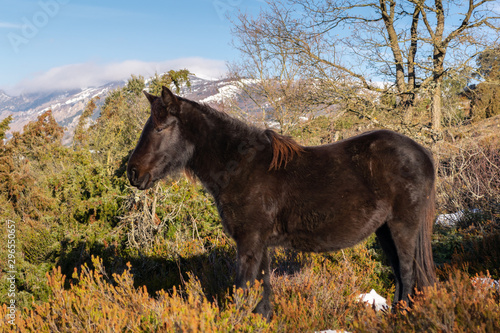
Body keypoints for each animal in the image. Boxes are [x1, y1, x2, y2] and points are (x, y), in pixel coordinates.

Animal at [127, 85, 436, 316]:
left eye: (160, 128)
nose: (133, 172)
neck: (241, 166)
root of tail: (421, 152)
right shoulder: (261, 244)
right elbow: (262, 292)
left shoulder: (249, 242)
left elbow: (242, 290)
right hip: (384, 231)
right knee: (401, 275)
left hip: (403, 228)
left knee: (408, 273)